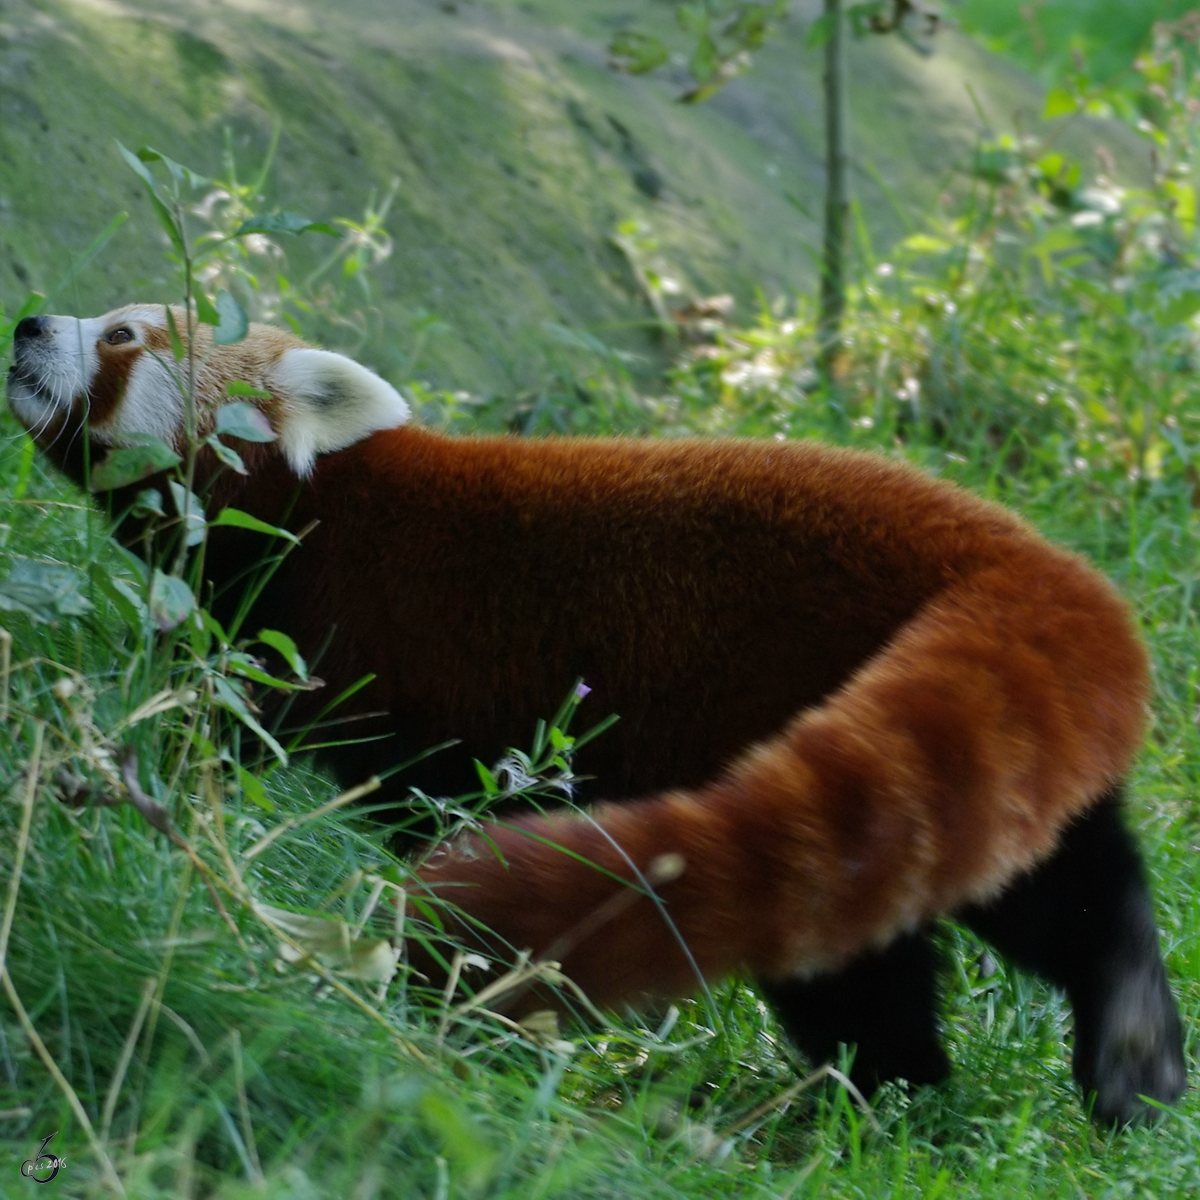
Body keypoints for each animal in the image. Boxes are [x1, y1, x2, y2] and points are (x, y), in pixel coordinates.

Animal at [7, 302, 1190, 1123]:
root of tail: (1016, 557)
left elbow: (276, 746)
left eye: (121, 335)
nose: (28, 323)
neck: (327, 505)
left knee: (872, 957)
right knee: (1044, 896)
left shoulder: (353, 648)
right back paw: (1064, 1060)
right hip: (953, 755)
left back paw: (859, 1097)